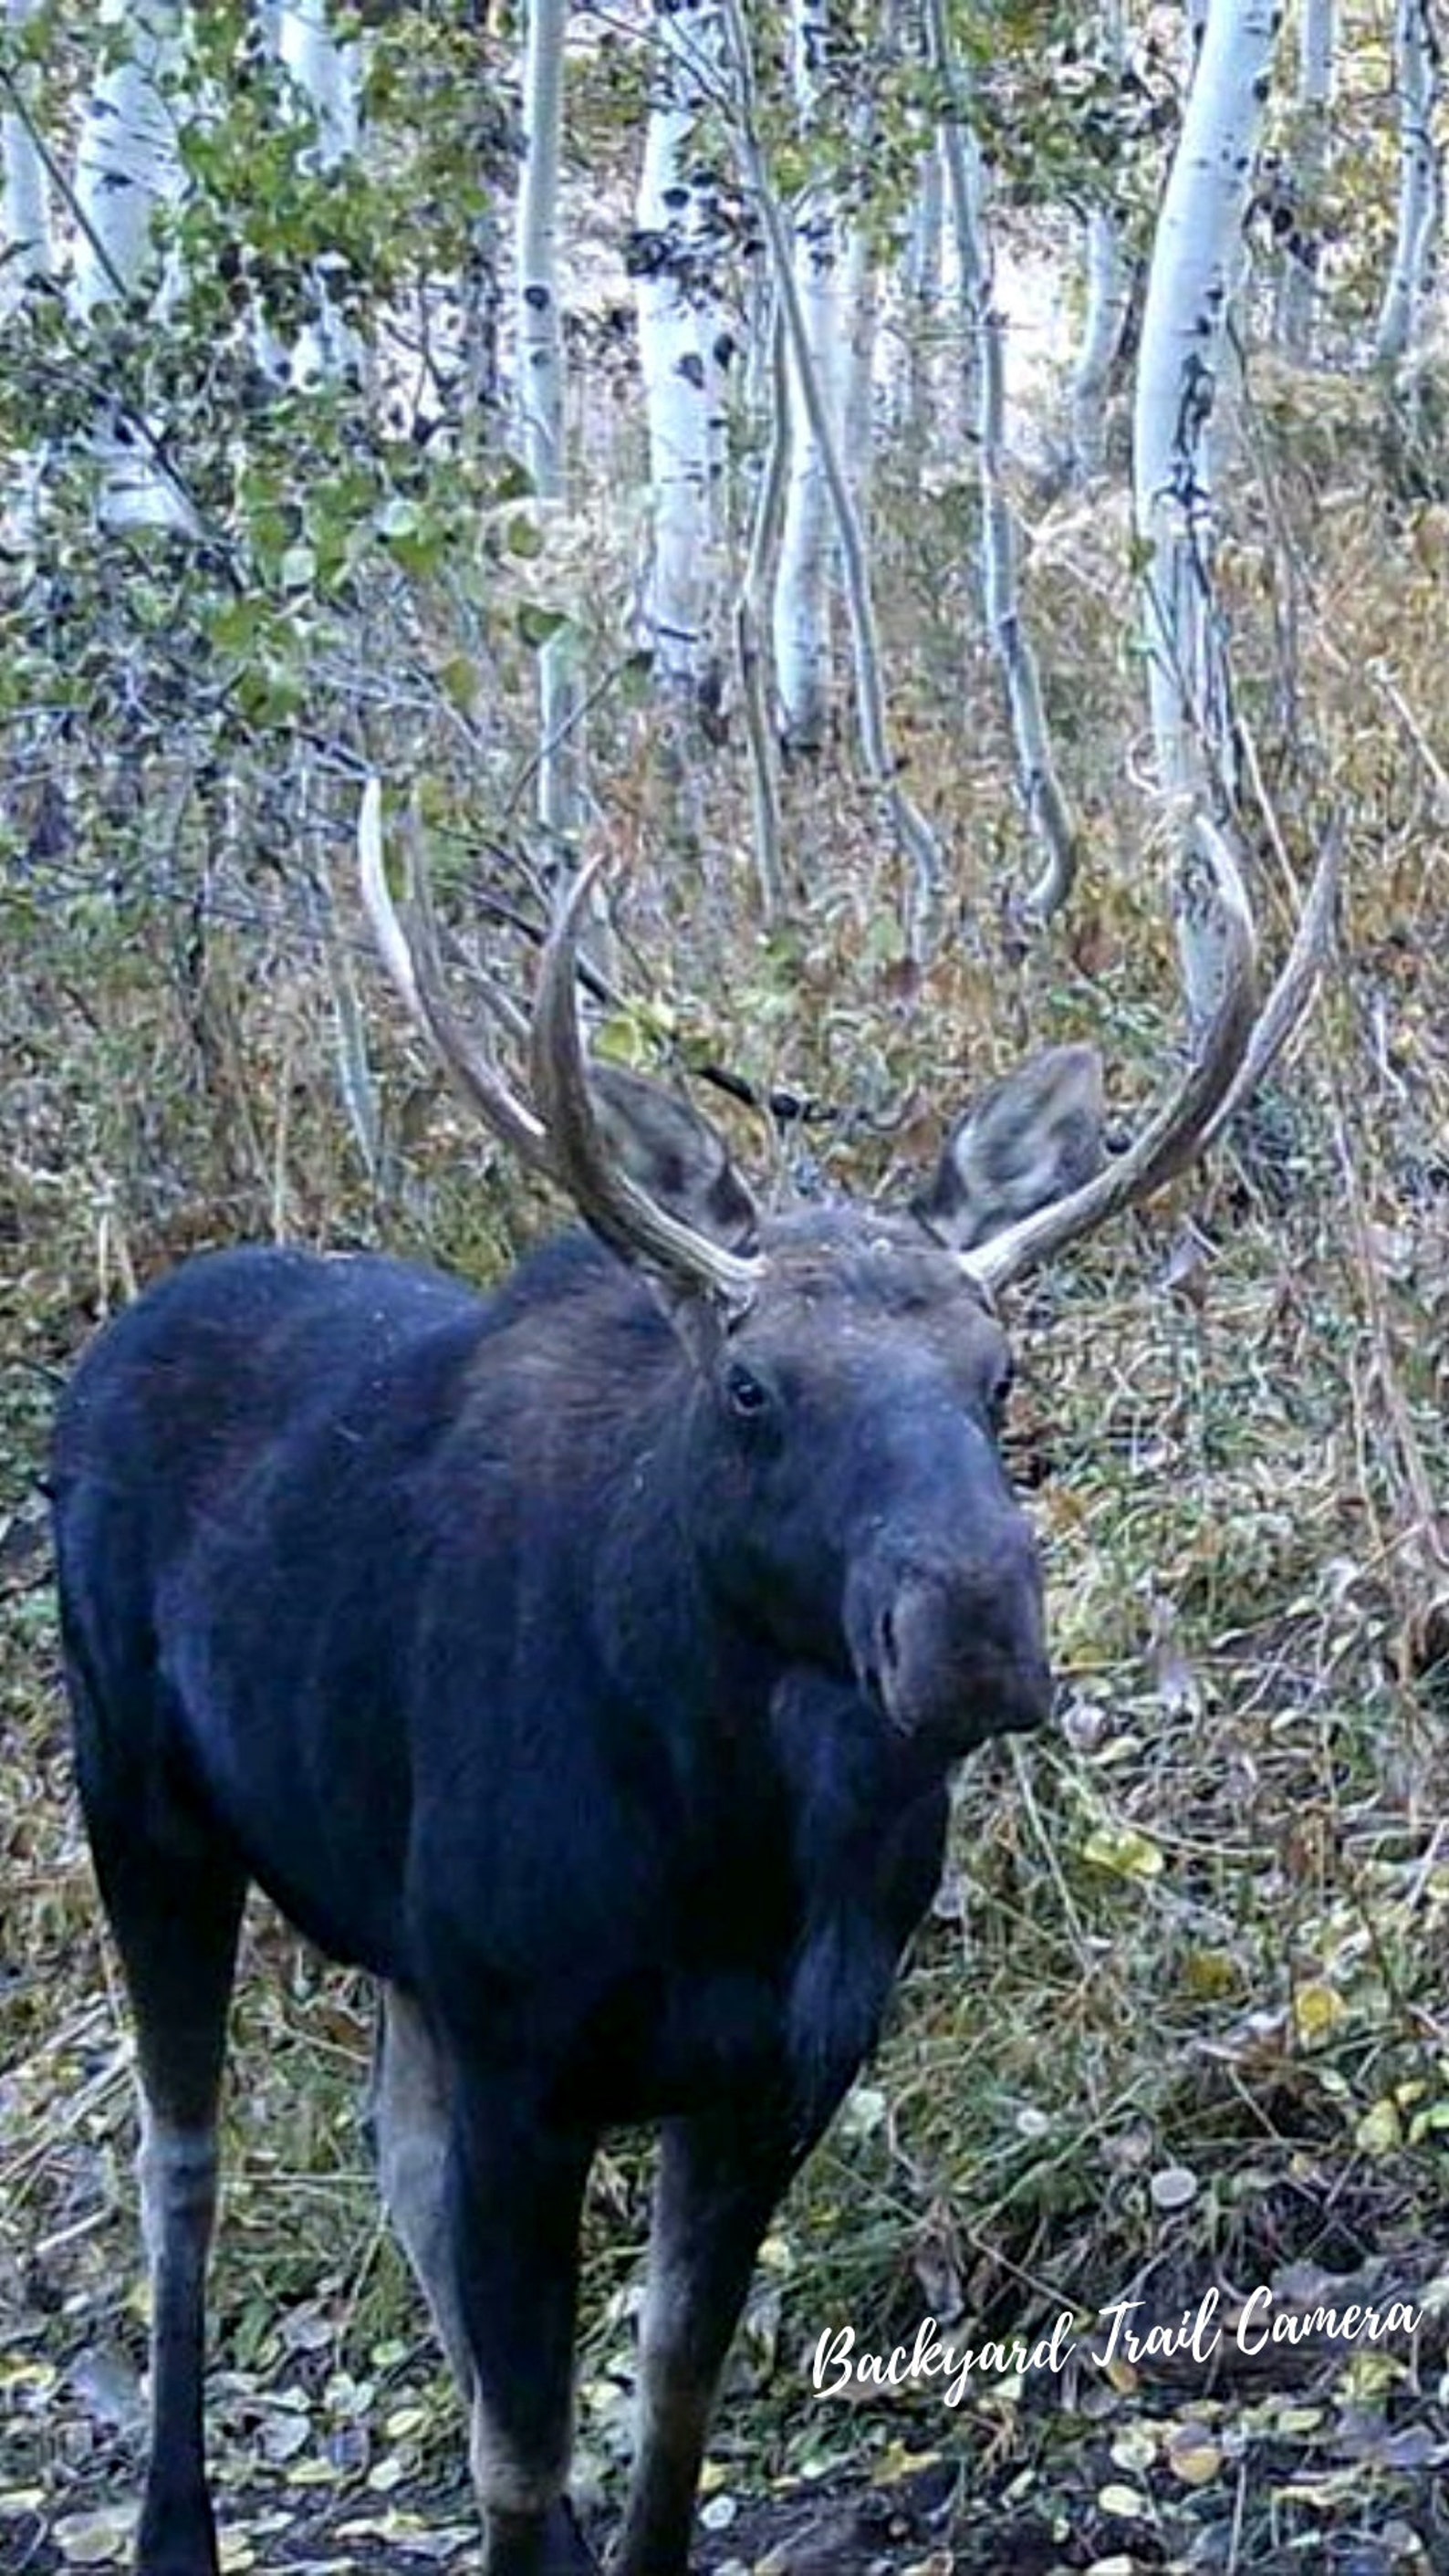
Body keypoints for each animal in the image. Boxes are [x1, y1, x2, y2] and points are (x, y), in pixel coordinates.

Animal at [51, 788, 1273, 2576]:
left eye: (1000, 1373)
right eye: (752, 1383)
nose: (974, 1622)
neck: (728, 1852)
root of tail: (116, 1332)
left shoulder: (773, 2074)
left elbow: (668, 2411)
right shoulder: (523, 2057)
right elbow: (517, 2440)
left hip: (393, 1941)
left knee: (389, 2157)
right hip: (140, 1803)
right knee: (179, 2155)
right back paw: (170, 2524)